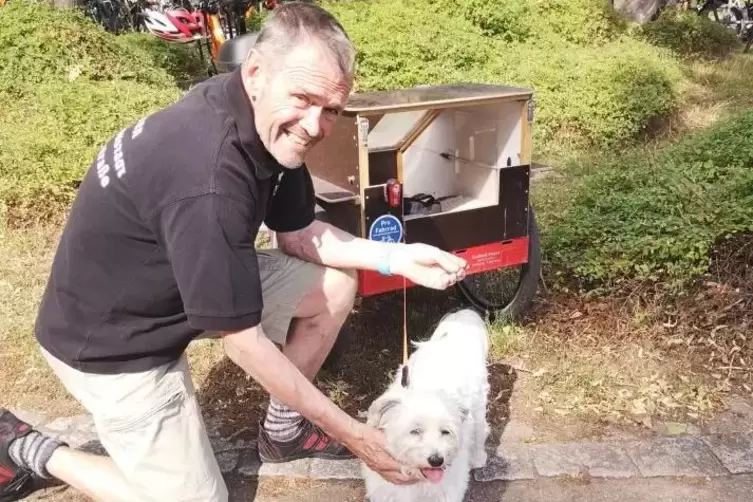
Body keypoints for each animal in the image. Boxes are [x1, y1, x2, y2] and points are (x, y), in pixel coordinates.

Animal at [362, 306, 490, 502]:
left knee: (480, 430)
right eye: (415, 431)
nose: (436, 460)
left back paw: (477, 457)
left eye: (445, 432)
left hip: (478, 407)